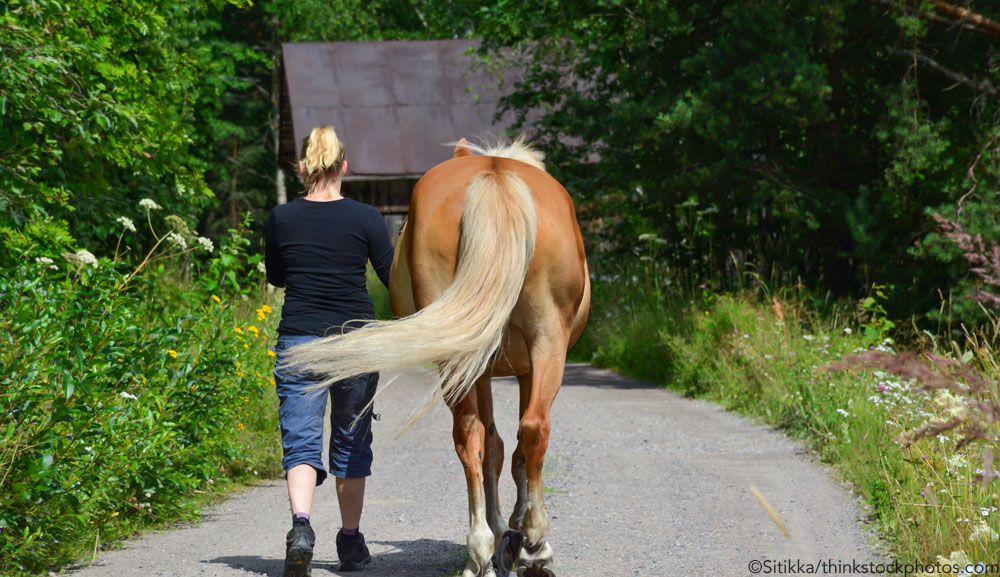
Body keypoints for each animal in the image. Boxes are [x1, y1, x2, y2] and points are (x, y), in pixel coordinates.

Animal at [286, 138, 588, 576]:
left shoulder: (484, 369)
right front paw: (514, 534)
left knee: (477, 434)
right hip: (543, 343)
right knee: (528, 431)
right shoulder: (519, 370)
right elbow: (509, 451)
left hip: (487, 352)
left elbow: (494, 447)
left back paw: (482, 549)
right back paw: (532, 545)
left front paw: (504, 535)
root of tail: (494, 175)